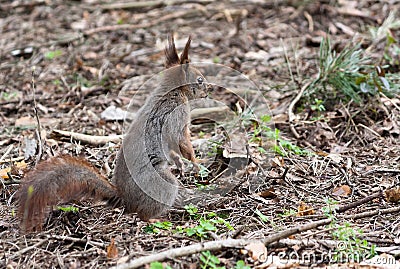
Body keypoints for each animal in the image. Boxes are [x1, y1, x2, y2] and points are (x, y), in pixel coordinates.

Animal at [17, 35, 211, 230]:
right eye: (200, 79)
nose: (208, 91)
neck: (174, 91)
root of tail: (126, 200)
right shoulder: (177, 119)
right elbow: (182, 143)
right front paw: (195, 162)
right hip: (163, 183)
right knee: (143, 214)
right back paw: (156, 219)